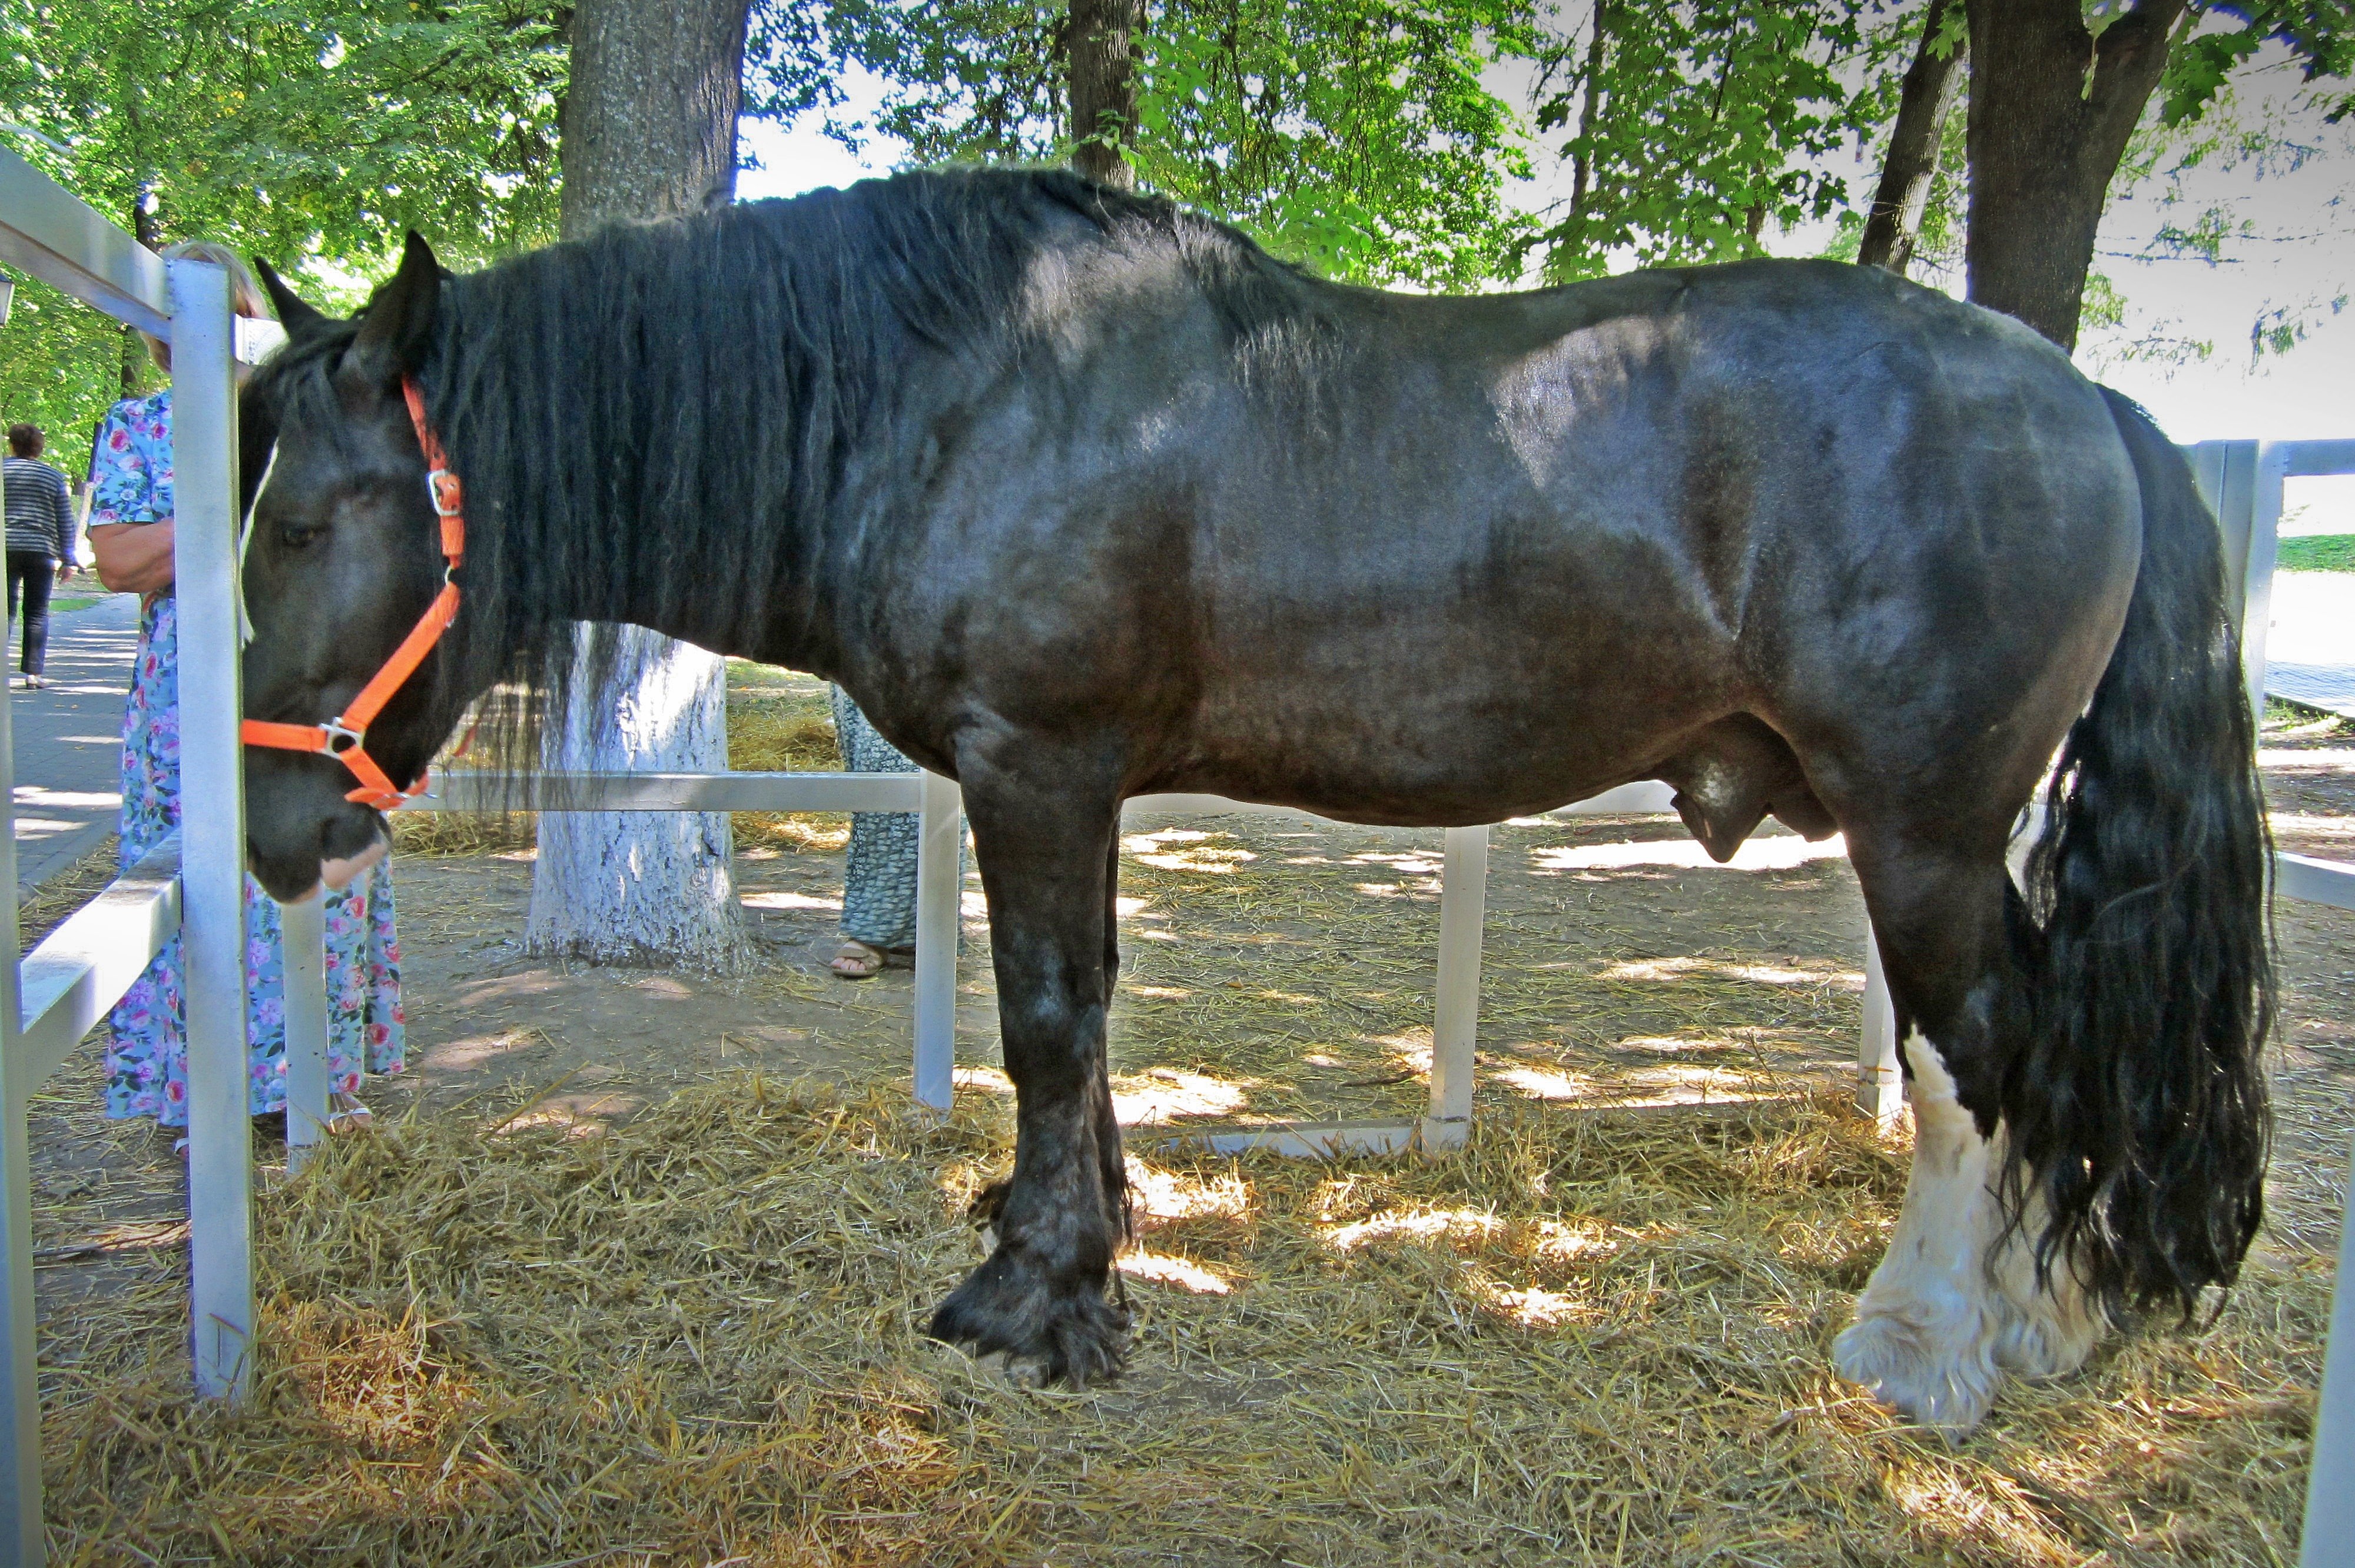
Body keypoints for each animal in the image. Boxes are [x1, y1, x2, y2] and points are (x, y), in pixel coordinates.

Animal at [234, 168, 2261, 1431]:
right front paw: (1072, 1237)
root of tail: (2085, 399)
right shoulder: (1074, 783)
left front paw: (1037, 1302)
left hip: (1925, 833)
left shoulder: (1036, 760)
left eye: (314, 518)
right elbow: (1089, 1017)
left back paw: (1929, 1350)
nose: (271, 836)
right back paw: (2042, 1320)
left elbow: (1050, 1015)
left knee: (1983, 1058)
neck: (954, 394)